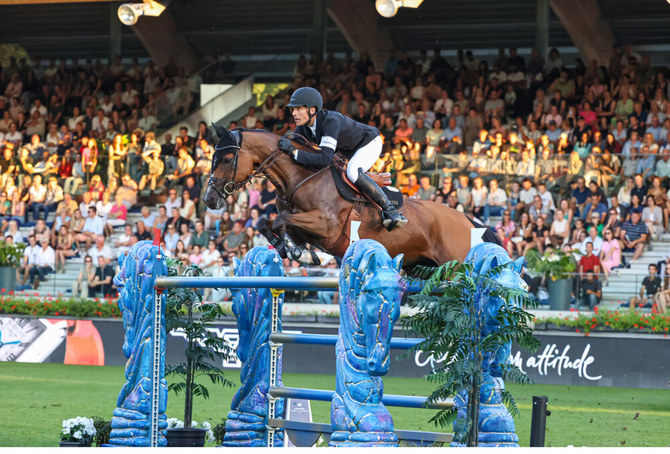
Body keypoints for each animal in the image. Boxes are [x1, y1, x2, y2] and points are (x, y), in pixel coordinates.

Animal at [205, 125, 498, 270]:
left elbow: (279, 221)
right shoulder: (303, 225)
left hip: (455, 266)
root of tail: (468, 221)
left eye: (227, 159)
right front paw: (292, 249)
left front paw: (297, 252)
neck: (300, 177)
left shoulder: (326, 226)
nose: (209, 200)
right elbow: (266, 223)